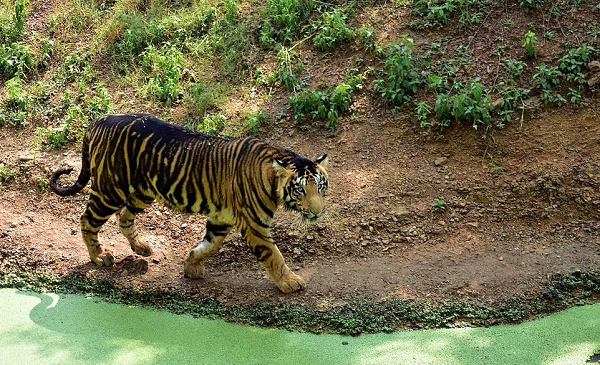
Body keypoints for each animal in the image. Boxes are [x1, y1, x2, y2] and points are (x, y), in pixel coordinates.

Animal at [51, 112, 330, 292]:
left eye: (320, 187)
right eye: (301, 190)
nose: (318, 212)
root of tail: (99, 120)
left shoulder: (220, 218)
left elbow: (209, 245)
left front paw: (190, 266)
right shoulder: (255, 225)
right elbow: (273, 255)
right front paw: (291, 282)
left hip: (142, 192)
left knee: (124, 216)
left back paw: (142, 248)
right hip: (111, 189)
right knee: (88, 219)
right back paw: (99, 256)